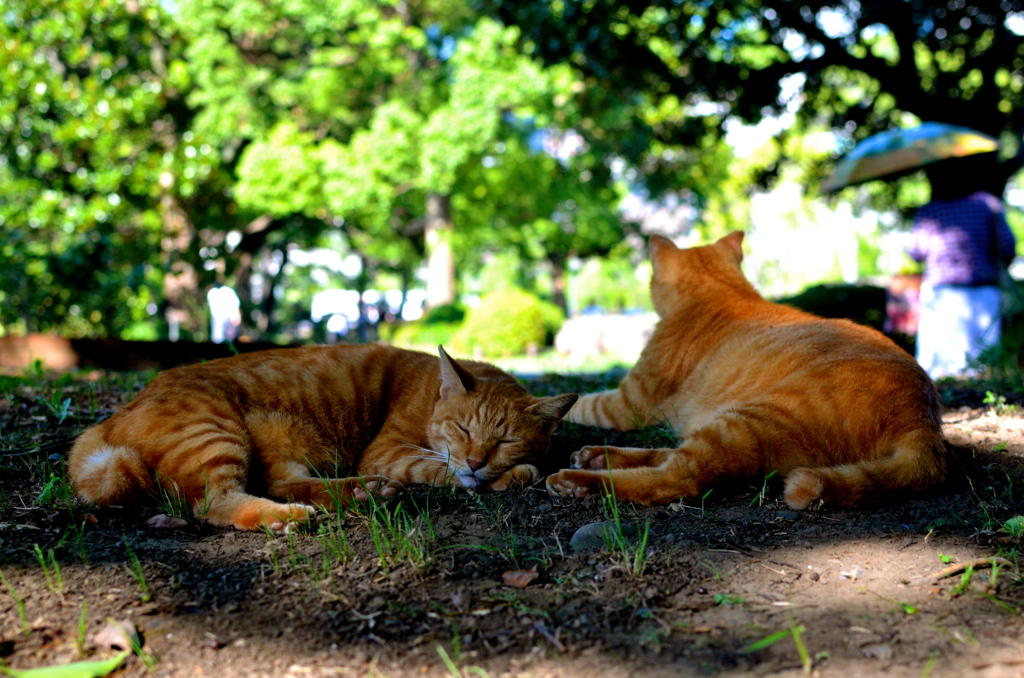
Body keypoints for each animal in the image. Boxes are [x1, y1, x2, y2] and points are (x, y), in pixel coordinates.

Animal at [70, 346, 585, 532]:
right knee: (216, 503)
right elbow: (441, 468)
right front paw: (509, 475)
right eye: (461, 430)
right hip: (215, 431)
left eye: (504, 441)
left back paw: (363, 492)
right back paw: (288, 517)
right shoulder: (388, 451)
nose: (478, 460)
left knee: (283, 482)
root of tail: (112, 416)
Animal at [548, 233, 946, 510]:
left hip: (748, 419)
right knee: (671, 454)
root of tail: (923, 420)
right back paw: (596, 456)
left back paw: (580, 480)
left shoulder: (626, 403)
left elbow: (582, 402)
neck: (720, 292)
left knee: (679, 477)